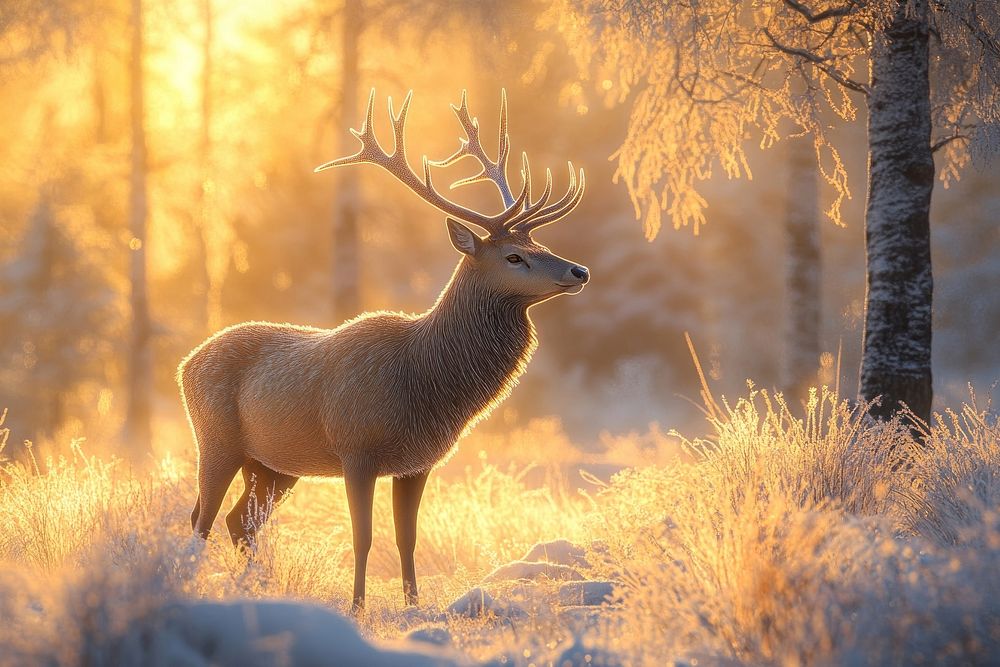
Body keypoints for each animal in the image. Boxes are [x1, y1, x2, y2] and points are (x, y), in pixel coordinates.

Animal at [179, 88, 584, 612]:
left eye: (541, 244)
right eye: (514, 256)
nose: (579, 271)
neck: (428, 383)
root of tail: (184, 365)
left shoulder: (418, 462)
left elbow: (406, 538)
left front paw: (413, 605)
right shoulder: (358, 449)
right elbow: (363, 536)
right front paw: (357, 606)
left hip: (272, 464)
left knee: (239, 523)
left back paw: (258, 587)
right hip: (217, 439)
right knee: (202, 520)